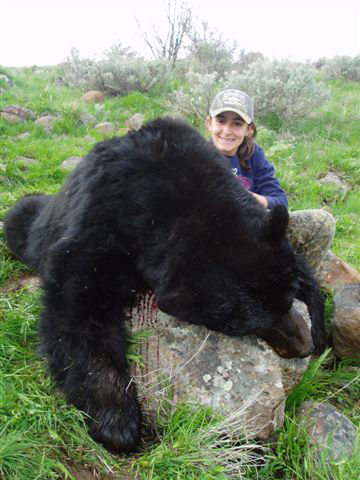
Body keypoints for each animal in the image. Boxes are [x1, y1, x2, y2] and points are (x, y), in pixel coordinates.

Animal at [3, 116, 326, 454]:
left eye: (287, 299)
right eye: (251, 326)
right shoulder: (103, 219)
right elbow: (78, 301)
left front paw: (318, 322)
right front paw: (116, 417)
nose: (304, 346)